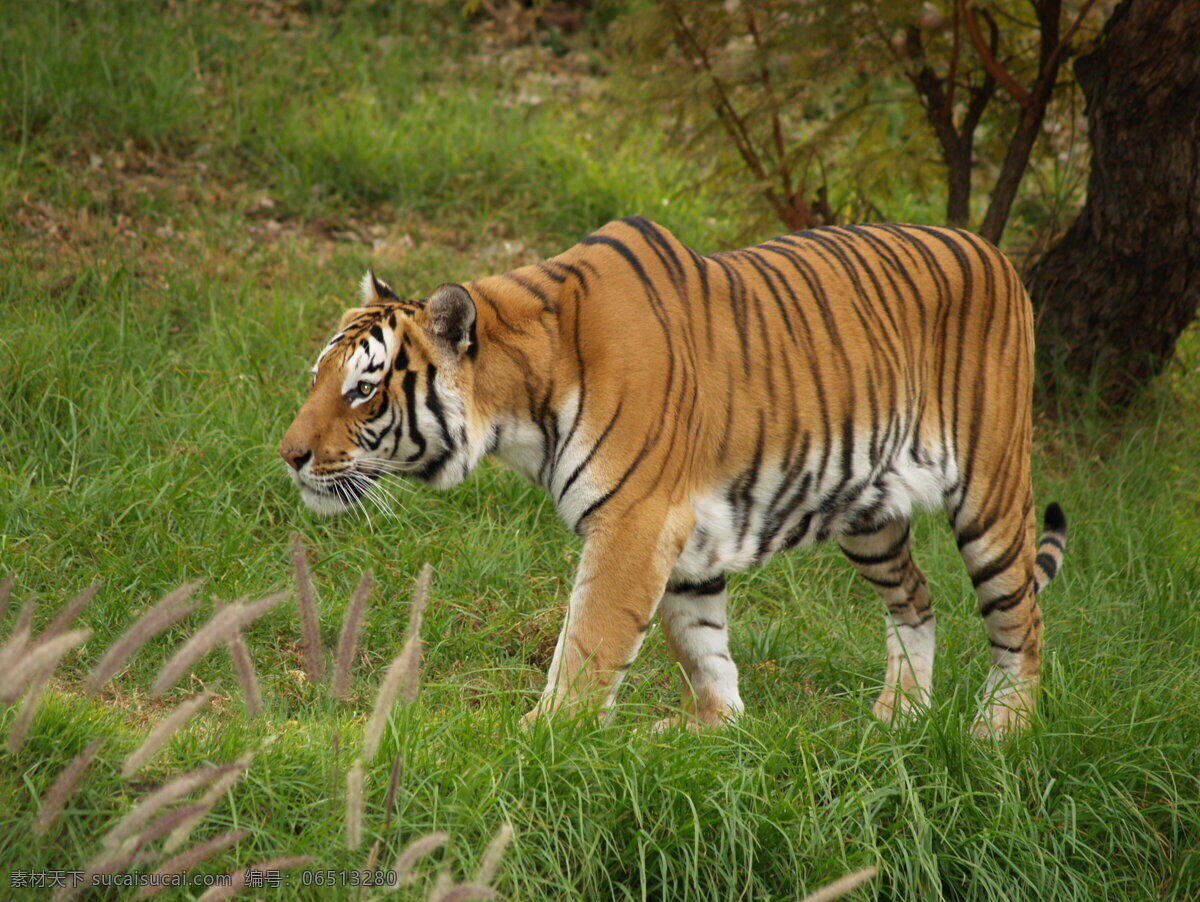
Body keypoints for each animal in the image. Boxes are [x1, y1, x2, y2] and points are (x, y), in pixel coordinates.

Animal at [278, 217, 1070, 734]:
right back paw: (898, 717)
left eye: (363, 390)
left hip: (992, 492)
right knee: (916, 597)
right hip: (870, 515)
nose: (287, 455)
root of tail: (996, 253)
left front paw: (536, 741)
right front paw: (713, 732)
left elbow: (590, 645)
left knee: (1020, 620)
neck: (519, 407)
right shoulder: (686, 534)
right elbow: (700, 643)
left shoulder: (637, 522)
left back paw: (999, 735)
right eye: (318, 375)